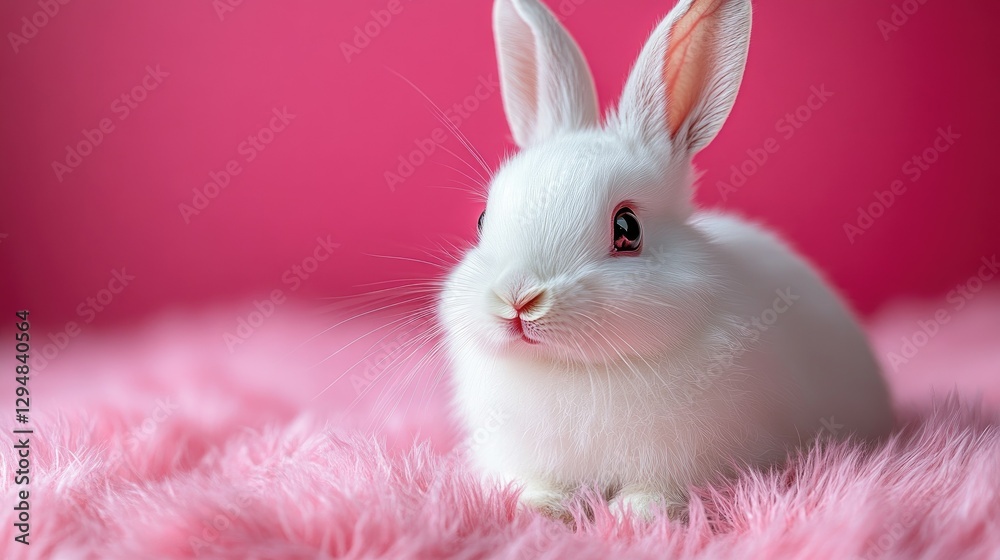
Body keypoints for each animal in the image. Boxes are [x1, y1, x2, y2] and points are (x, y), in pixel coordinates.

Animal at [438, 0, 894, 520]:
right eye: (481, 219)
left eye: (627, 229)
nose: (517, 299)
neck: (575, 368)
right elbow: (542, 482)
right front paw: (540, 508)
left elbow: (659, 489)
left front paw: (635, 513)